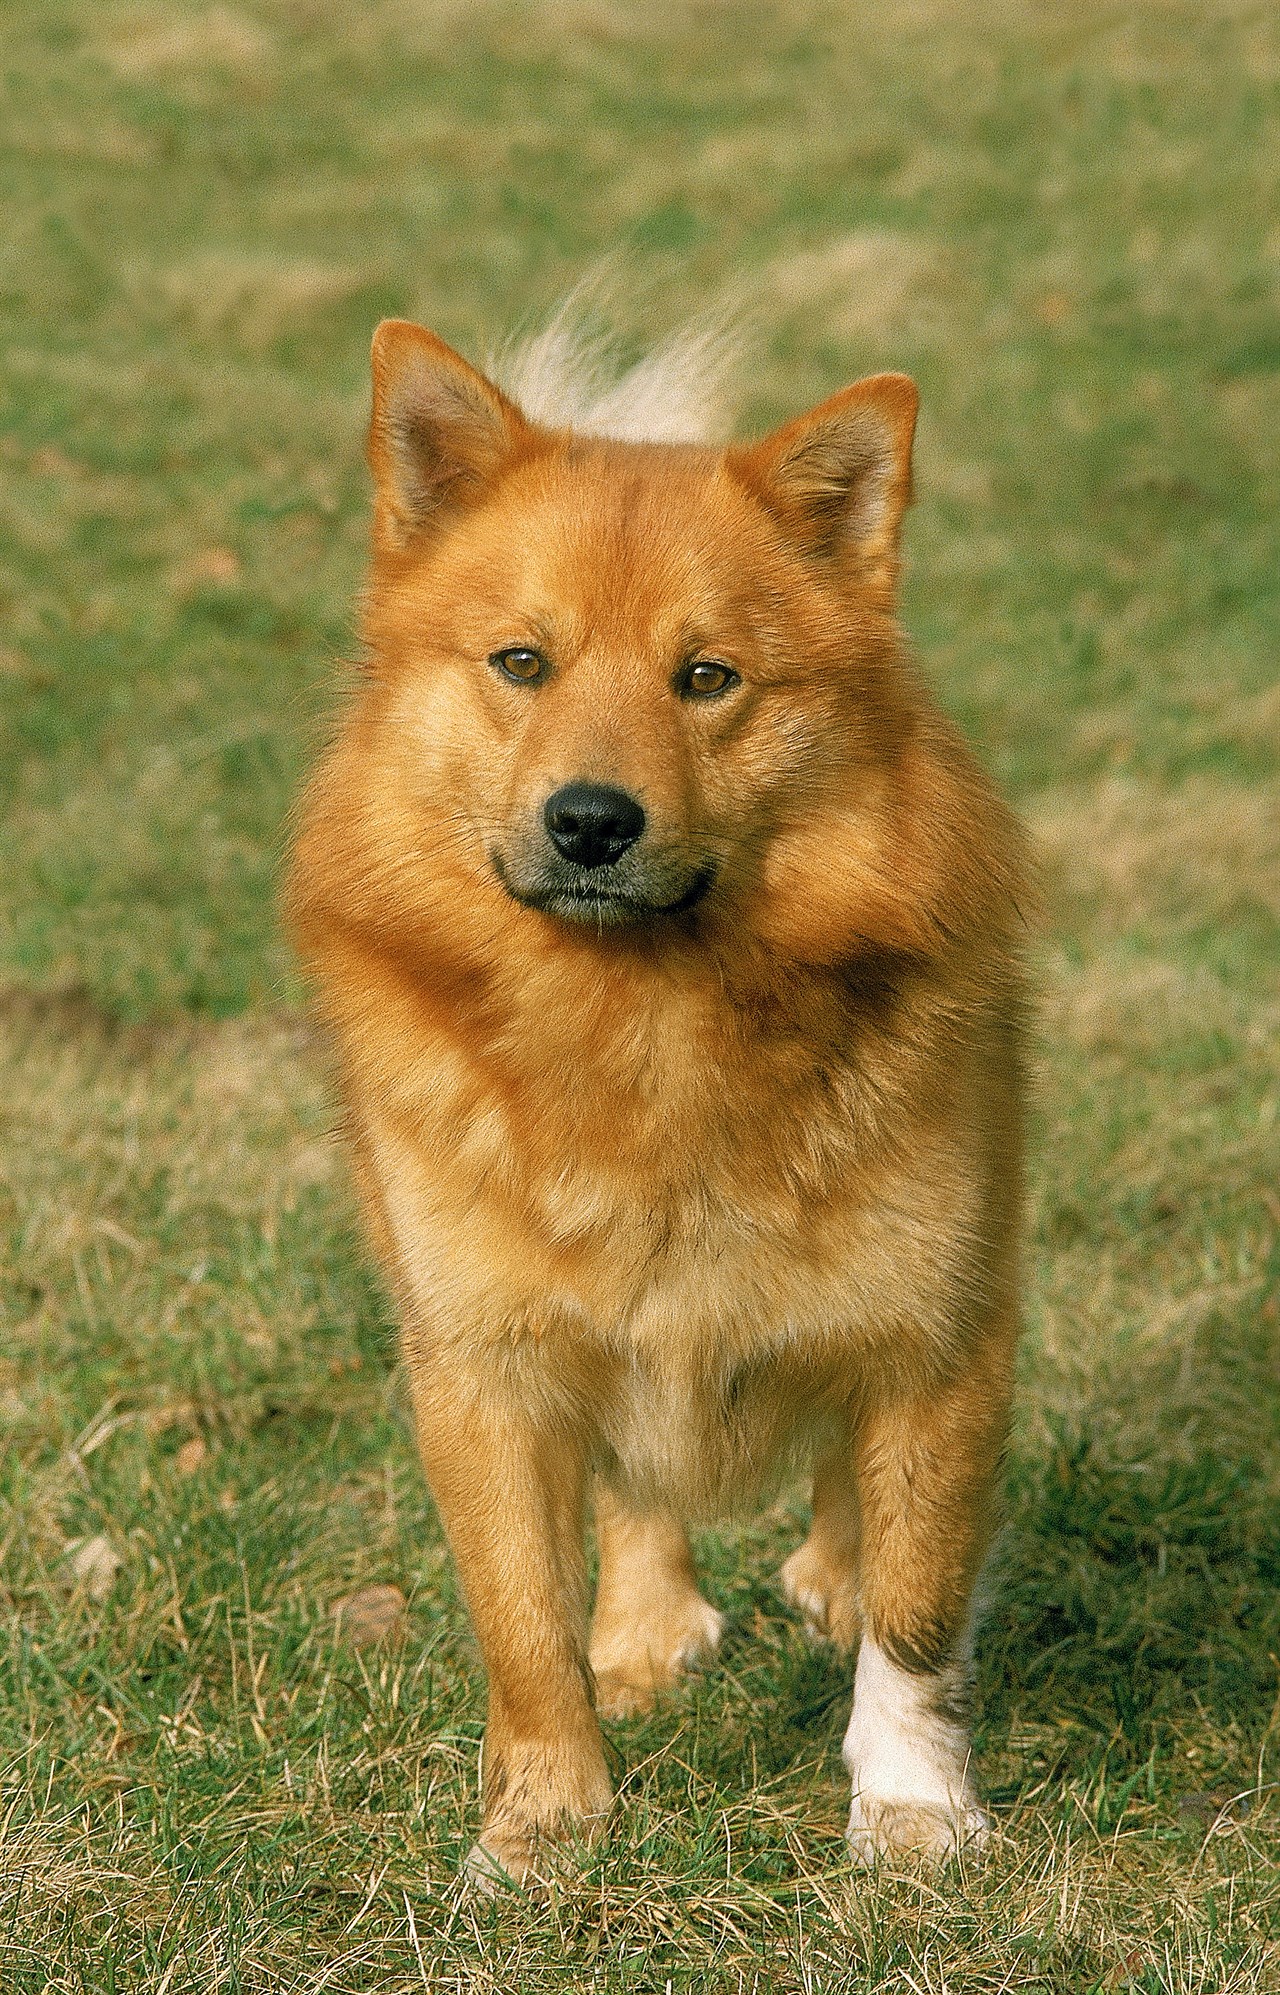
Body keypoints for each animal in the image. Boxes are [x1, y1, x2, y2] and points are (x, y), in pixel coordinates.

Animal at [287, 299, 1028, 1883]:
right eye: (521, 662)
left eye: (708, 678)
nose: (589, 820)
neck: (643, 1028)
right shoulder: (481, 1362)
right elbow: (521, 1620)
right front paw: (543, 1825)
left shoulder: (941, 1338)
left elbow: (919, 1609)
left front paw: (912, 1807)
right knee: (635, 1486)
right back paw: (644, 1628)